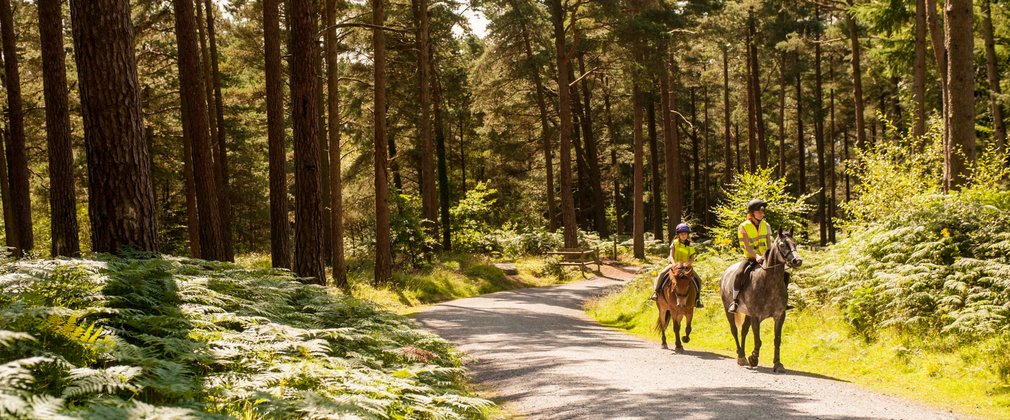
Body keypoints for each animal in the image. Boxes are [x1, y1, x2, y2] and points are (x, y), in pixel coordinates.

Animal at [719, 228, 803, 371]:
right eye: (782, 245)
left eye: (795, 243)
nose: (797, 261)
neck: (770, 282)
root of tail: (726, 272)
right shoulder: (756, 316)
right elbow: (758, 340)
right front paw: (753, 358)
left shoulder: (779, 316)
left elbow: (777, 340)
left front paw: (778, 364)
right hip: (728, 310)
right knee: (734, 330)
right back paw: (741, 356)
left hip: (747, 314)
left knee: (743, 331)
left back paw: (743, 356)